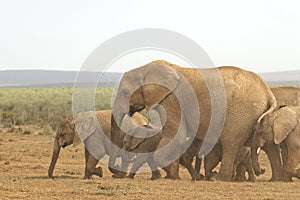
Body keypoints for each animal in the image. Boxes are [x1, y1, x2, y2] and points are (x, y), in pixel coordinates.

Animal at [110, 59, 276, 181]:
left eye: (125, 92)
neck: (146, 68)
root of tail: (268, 92)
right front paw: (174, 176)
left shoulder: (172, 100)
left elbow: (176, 136)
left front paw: (172, 175)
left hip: (240, 113)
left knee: (230, 143)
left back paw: (217, 178)